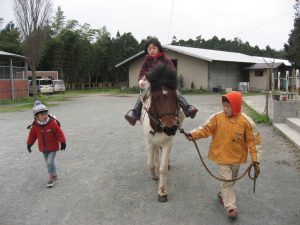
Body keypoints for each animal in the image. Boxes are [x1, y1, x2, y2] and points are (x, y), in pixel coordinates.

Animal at [141, 63, 185, 202]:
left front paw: (162, 192)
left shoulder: (167, 142)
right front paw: (154, 175)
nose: (170, 128)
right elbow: (150, 164)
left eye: (175, 97)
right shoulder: (149, 142)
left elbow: (163, 168)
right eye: (155, 98)